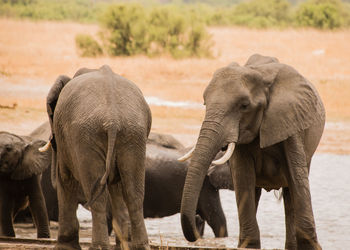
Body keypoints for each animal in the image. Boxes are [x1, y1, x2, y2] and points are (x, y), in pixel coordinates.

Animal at [41, 65, 151, 249]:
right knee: (133, 193)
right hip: (134, 136)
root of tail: (113, 120)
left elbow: (66, 179)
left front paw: (64, 247)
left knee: (96, 192)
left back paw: (98, 246)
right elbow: (117, 186)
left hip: (86, 137)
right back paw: (139, 246)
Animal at [180, 53, 326, 250]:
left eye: (244, 106)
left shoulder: (291, 121)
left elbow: (297, 178)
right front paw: (249, 245)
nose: (197, 222)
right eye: (204, 103)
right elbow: (243, 177)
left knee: (290, 191)